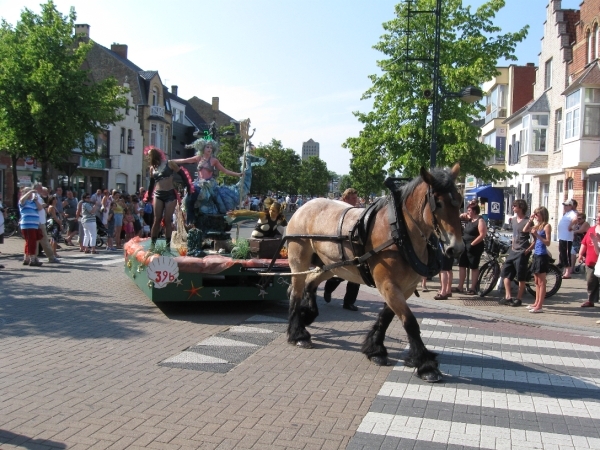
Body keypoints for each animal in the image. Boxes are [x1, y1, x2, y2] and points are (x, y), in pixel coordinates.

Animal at [286, 165, 464, 384]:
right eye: (437, 203)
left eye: (460, 201)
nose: (456, 249)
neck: (399, 231)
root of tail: (304, 206)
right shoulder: (387, 284)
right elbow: (410, 322)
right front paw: (426, 365)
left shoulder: (404, 287)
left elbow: (386, 317)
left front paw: (375, 349)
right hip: (299, 261)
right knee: (295, 291)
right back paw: (298, 334)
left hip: (332, 266)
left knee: (310, 283)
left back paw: (308, 314)